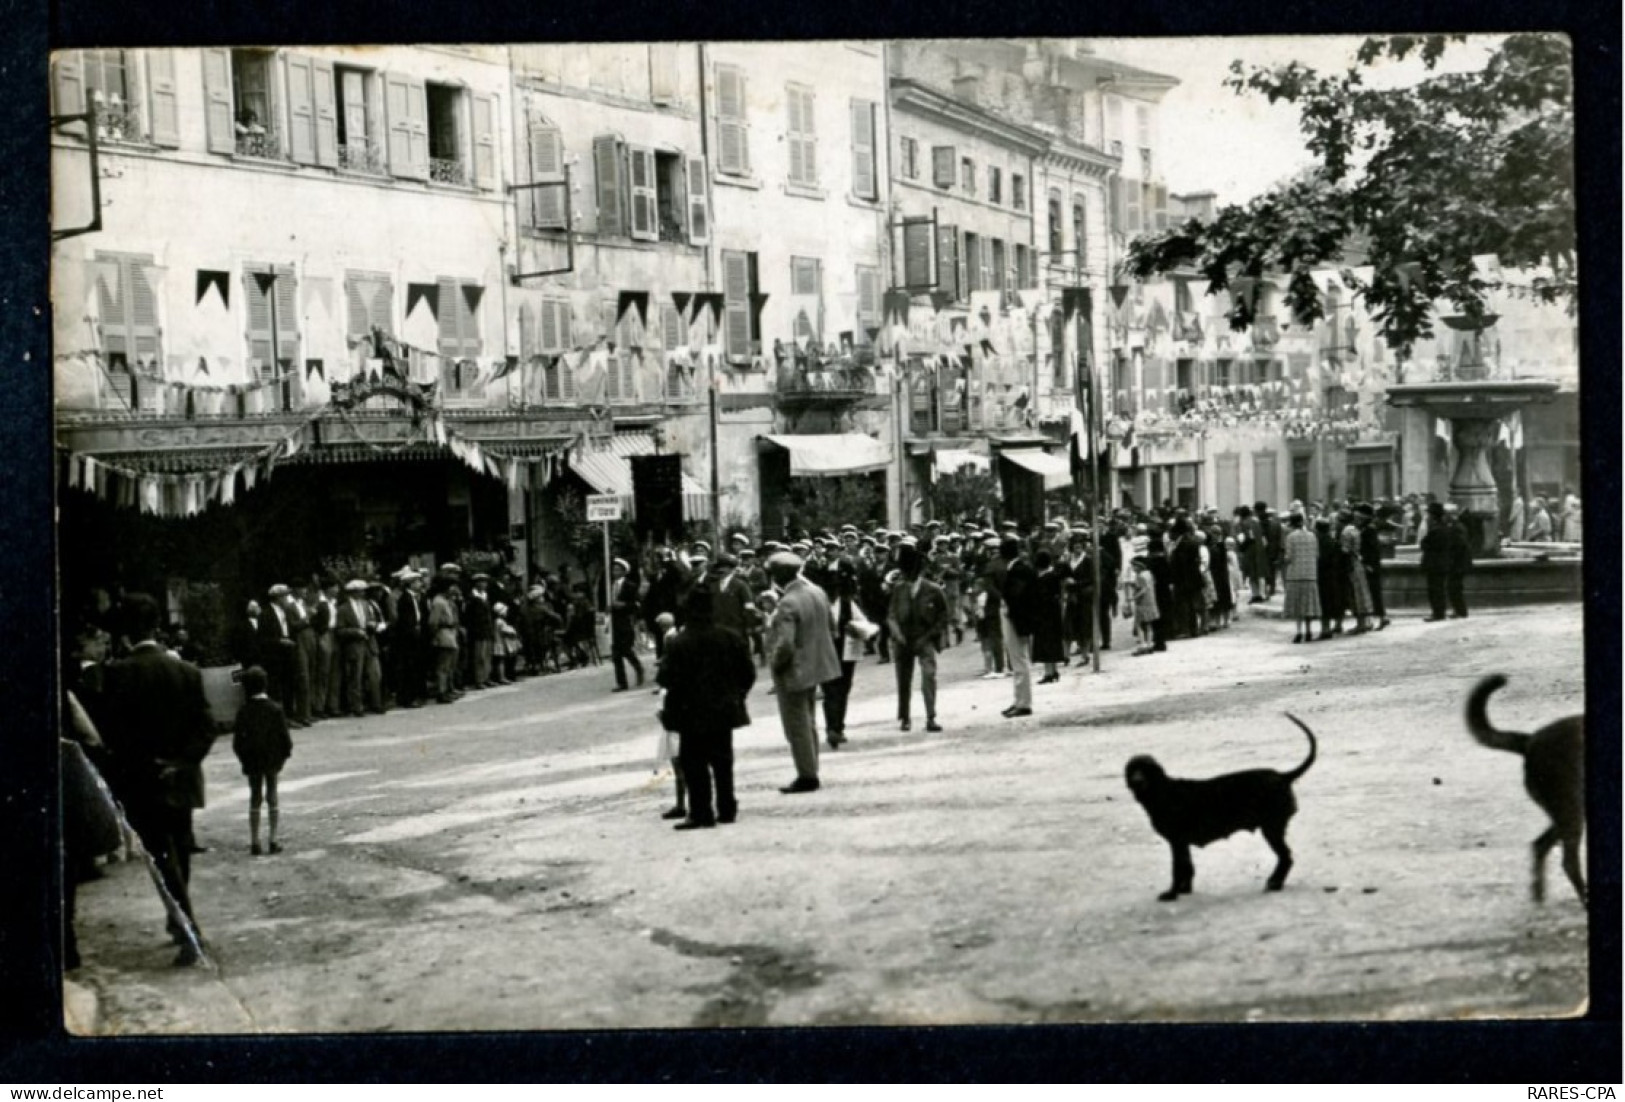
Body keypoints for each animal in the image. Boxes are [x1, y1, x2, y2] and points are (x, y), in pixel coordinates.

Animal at [1131, 721, 1319, 903]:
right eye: (1132, 769)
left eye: (1146, 770)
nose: (1137, 779)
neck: (1163, 791)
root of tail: (1282, 776)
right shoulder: (1181, 844)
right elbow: (1188, 867)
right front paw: (1184, 890)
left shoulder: (1176, 841)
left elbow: (1178, 870)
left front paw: (1172, 894)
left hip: (1272, 829)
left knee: (1286, 857)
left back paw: (1274, 884)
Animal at [1462, 672, 1586, 903]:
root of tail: (1530, 741)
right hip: (1571, 812)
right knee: (1568, 862)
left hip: (1567, 814)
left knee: (1540, 846)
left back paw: (1539, 896)